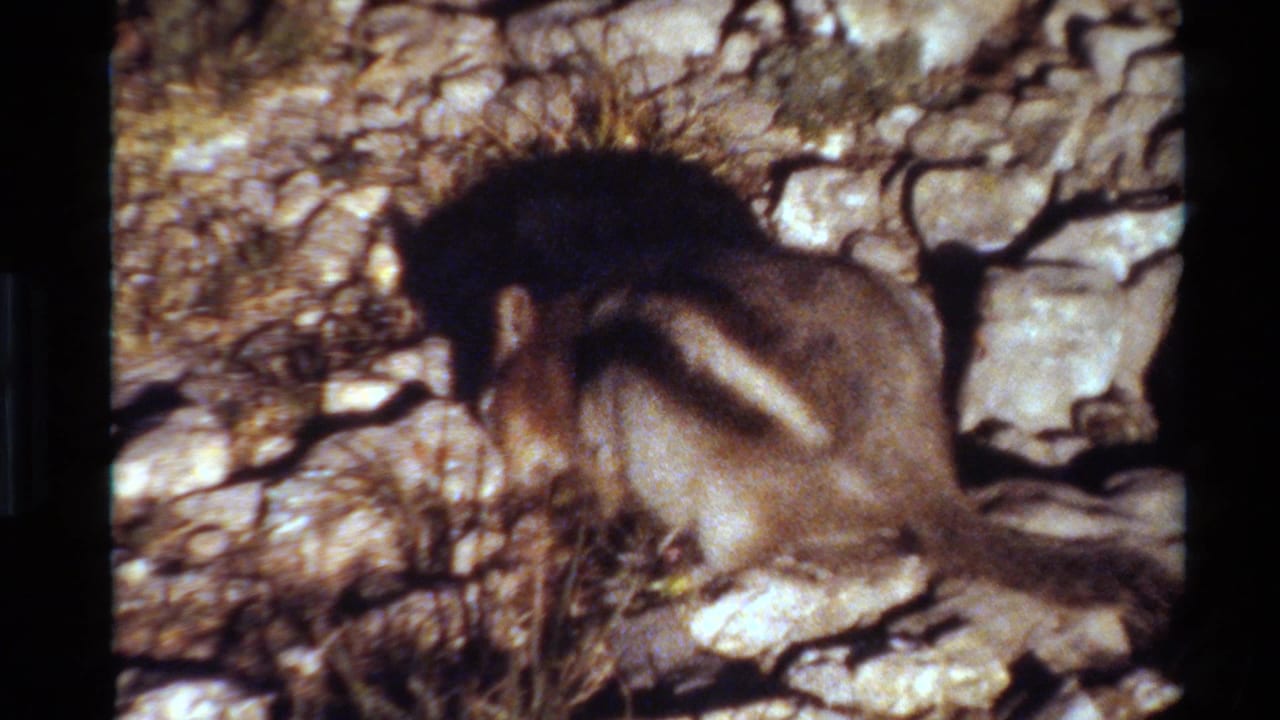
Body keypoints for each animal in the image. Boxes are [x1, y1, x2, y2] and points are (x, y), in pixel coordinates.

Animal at [400, 152, 1179, 644]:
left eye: (493, 399)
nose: (505, 469)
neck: (573, 342)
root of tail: (926, 482)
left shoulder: (603, 455)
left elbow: (603, 495)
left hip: (732, 512)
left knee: (748, 557)